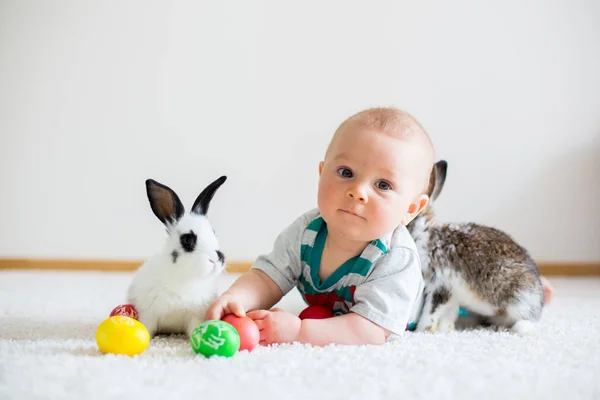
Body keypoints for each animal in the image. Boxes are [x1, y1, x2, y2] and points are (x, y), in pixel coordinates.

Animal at [126, 175, 227, 338]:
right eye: (187, 240)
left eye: (214, 232)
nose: (217, 259)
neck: (186, 277)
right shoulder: (148, 314)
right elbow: (147, 328)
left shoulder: (196, 315)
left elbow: (195, 327)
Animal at [408, 161, 544, 336]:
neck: (423, 234)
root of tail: (539, 303)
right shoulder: (452, 295)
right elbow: (447, 315)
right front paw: (445, 330)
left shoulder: (439, 286)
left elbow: (431, 313)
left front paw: (421, 332)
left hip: (517, 303)